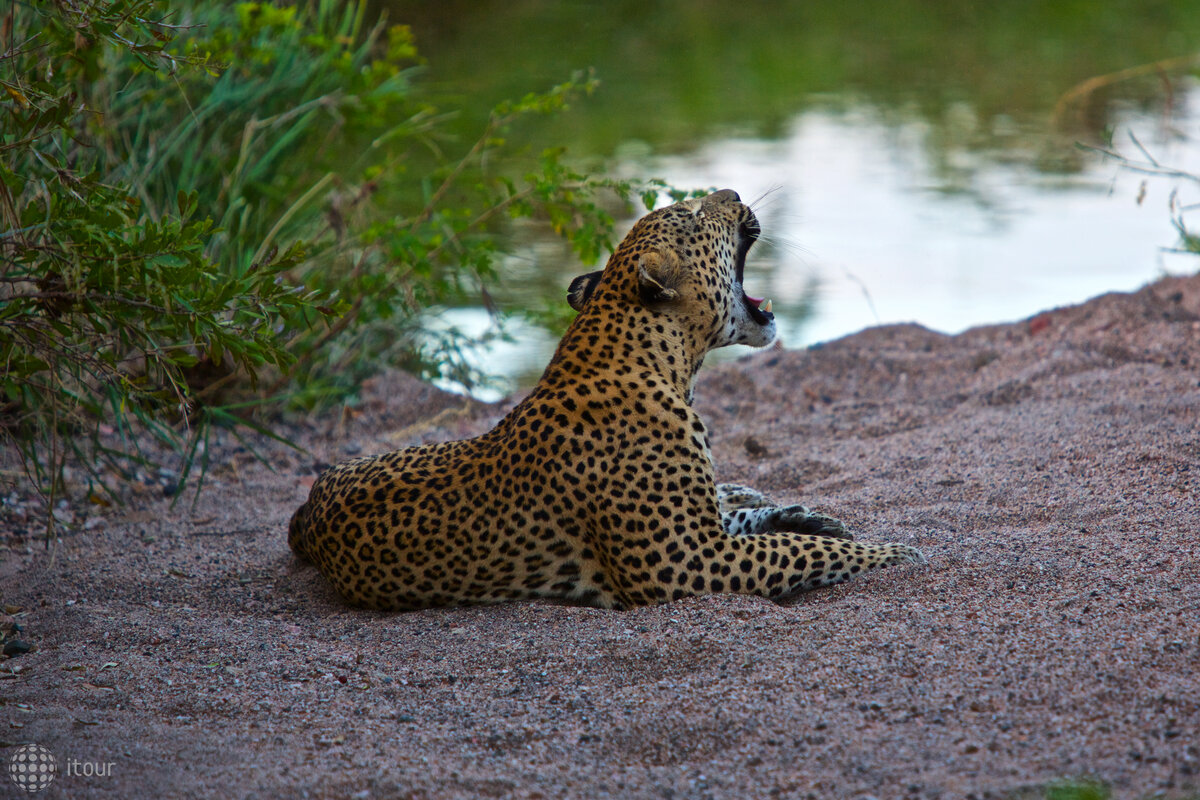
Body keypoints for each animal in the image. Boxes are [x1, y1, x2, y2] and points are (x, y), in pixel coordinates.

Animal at [290, 189, 926, 614]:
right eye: (697, 213)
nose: (733, 192)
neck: (671, 367)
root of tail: (308, 511)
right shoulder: (688, 563)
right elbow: (800, 552)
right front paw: (897, 553)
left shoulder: (699, 533)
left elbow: (771, 531)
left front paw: (813, 518)